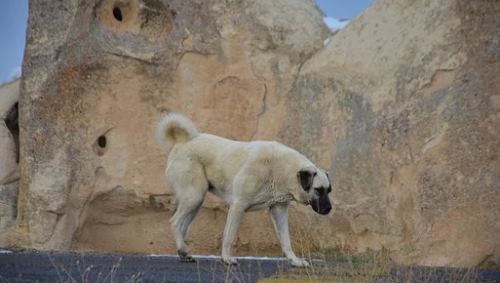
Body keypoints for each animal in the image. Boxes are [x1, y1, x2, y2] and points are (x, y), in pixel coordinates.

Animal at [154, 112, 330, 268]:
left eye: (329, 190)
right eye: (318, 190)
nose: (329, 209)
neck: (282, 169)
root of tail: (183, 142)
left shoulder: (279, 210)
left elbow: (286, 241)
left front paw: (295, 261)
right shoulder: (238, 205)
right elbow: (229, 235)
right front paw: (227, 259)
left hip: (195, 202)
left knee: (182, 226)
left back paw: (184, 252)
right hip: (194, 196)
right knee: (175, 222)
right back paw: (183, 249)